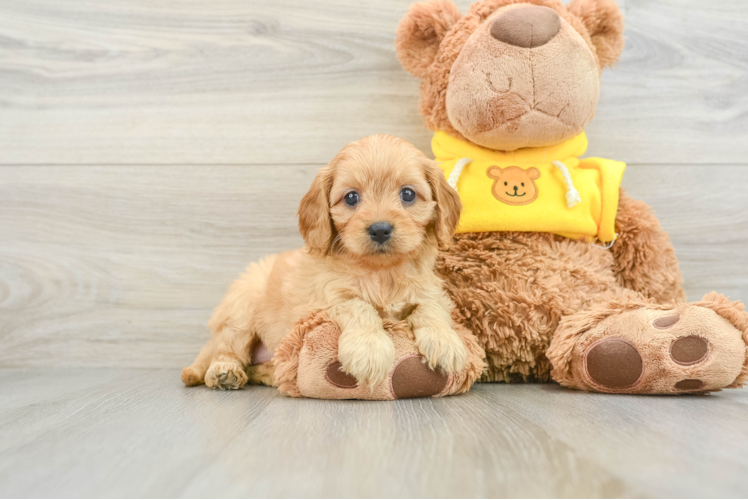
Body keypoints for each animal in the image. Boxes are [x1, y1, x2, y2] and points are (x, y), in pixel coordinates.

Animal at [184, 134, 464, 390]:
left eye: (407, 194)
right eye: (351, 198)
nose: (380, 229)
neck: (381, 272)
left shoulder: (431, 292)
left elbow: (430, 308)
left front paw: (445, 341)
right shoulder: (320, 305)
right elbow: (359, 305)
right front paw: (369, 349)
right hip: (241, 308)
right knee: (228, 349)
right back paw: (224, 371)